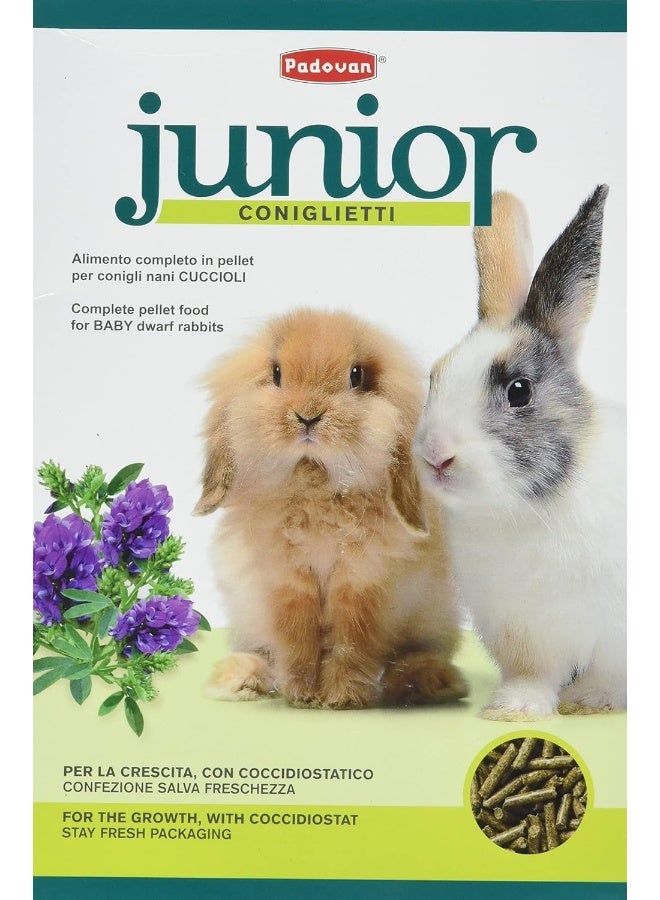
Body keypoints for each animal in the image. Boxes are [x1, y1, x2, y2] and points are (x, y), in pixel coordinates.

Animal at [194, 308, 467, 710]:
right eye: (277, 374)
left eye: (356, 376)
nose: (307, 415)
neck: (316, 485)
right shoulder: (288, 582)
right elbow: (298, 640)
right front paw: (303, 695)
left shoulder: (361, 582)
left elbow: (351, 642)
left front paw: (342, 697)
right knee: (259, 652)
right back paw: (239, 681)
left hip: (433, 618)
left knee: (416, 654)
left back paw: (428, 682)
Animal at [415, 186, 626, 720]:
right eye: (435, 376)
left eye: (519, 390)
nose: (437, 456)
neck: (526, 508)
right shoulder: (523, 630)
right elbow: (534, 673)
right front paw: (513, 710)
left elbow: (612, 672)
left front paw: (590, 701)